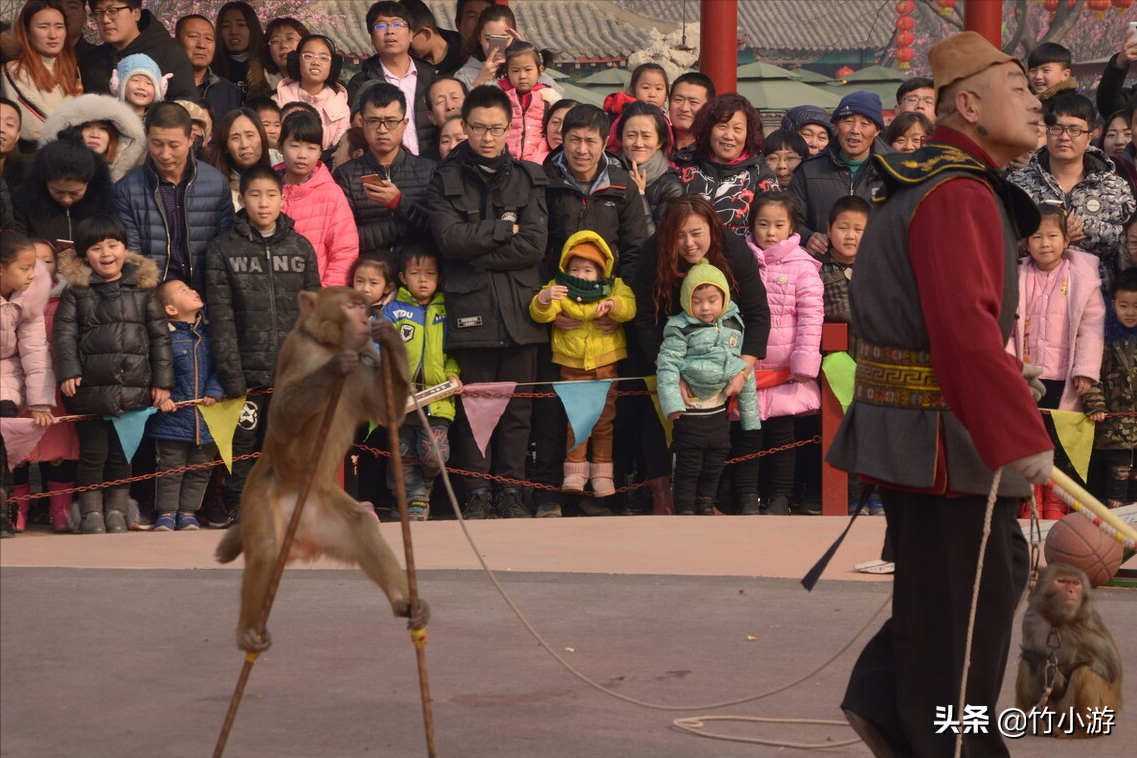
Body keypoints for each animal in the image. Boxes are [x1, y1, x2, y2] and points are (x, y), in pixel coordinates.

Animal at [214, 287, 427, 654]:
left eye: (362, 306)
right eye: (351, 305)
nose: (365, 317)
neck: (327, 345)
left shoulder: (365, 366)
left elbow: (387, 413)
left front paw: (390, 339)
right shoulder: (297, 350)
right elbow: (281, 418)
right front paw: (334, 368)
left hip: (324, 506)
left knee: (361, 525)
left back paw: (404, 602)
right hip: (259, 494)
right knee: (266, 549)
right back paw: (247, 631)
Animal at [1018, 563, 1123, 736]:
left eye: (1076, 583)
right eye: (1061, 581)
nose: (1071, 591)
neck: (1056, 622)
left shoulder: (1087, 626)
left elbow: (1111, 670)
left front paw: (1057, 678)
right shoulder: (1030, 618)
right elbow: (1031, 655)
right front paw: (1048, 670)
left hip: (1103, 711)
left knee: (1084, 673)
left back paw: (1083, 730)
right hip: (1049, 708)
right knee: (1025, 663)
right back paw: (1039, 725)